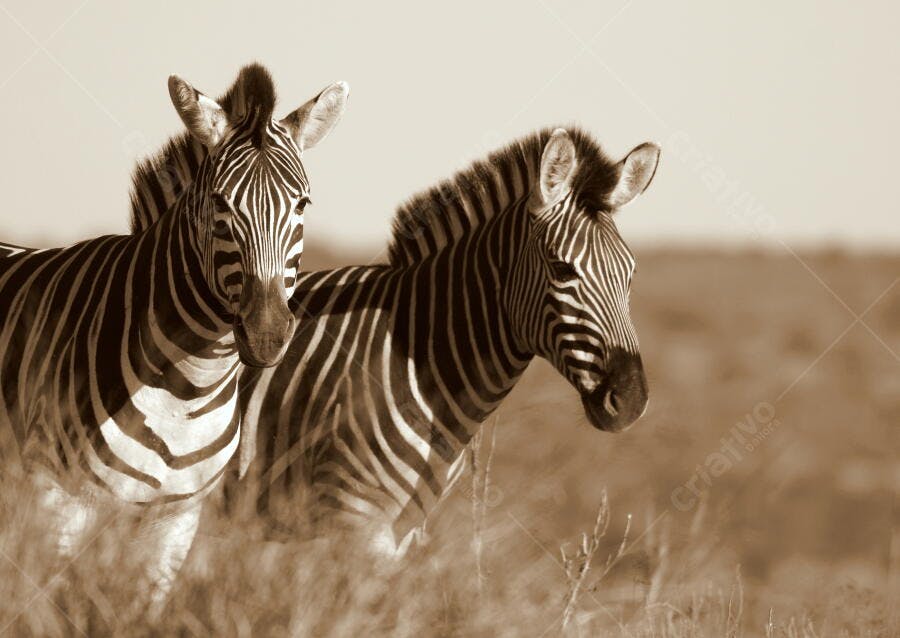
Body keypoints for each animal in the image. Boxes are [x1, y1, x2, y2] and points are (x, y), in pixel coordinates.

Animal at [0, 63, 348, 614]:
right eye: (221, 204)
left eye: (302, 203)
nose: (267, 334)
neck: (186, 390)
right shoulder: (58, 498)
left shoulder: (175, 518)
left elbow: (140, 613)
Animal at [126, 124, 659, 558]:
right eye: (563, 271)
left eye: (632, 274)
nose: (632, 399)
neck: (423, 353)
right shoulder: (358, 522)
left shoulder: (403, 532)